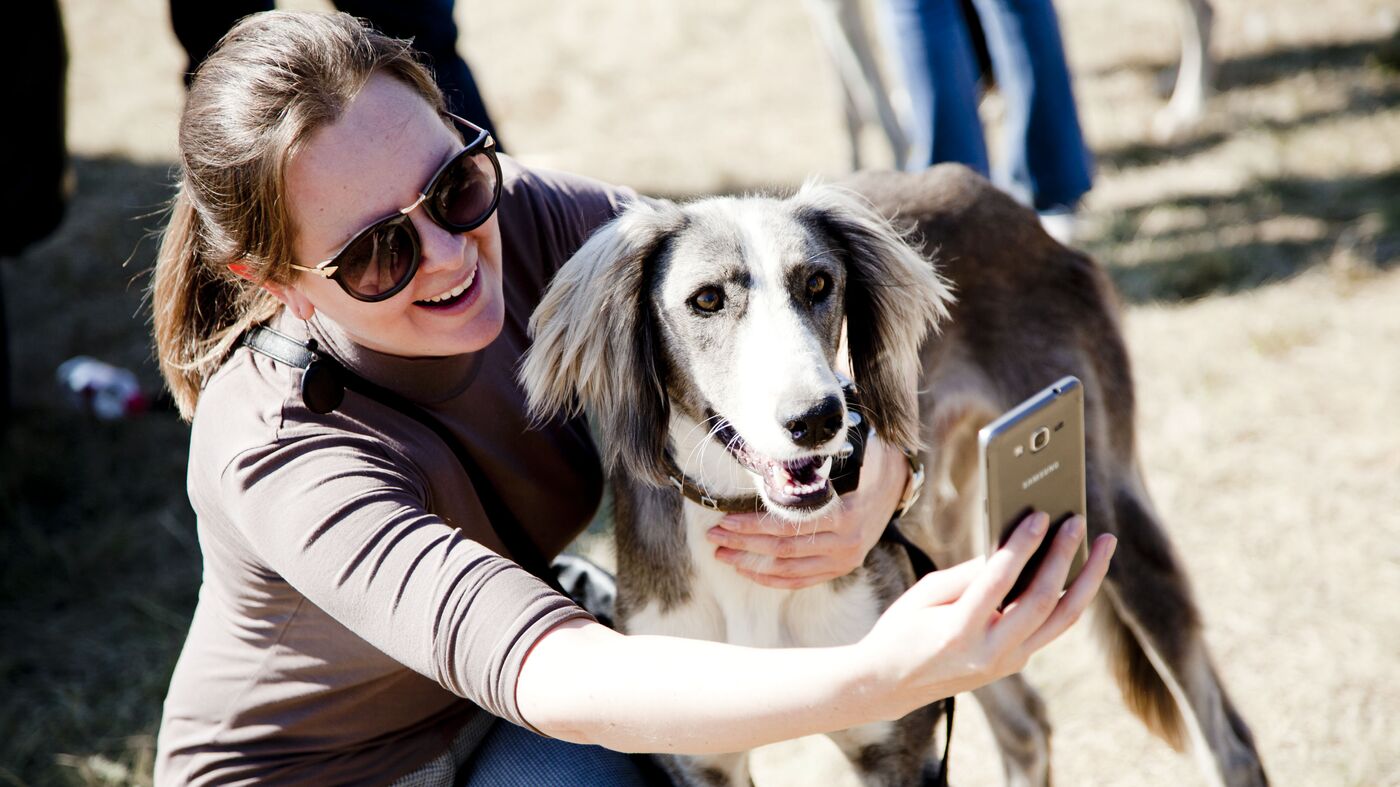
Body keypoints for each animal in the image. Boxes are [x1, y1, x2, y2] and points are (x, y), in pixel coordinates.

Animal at [518, 162, 1271, 778]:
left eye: (818, 283)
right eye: (706, 299)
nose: (820, 419)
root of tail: (996, 194)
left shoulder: (896, 735)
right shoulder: (704, 759)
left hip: (1110, 512)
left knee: (1228, 740)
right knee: (1024, 724)